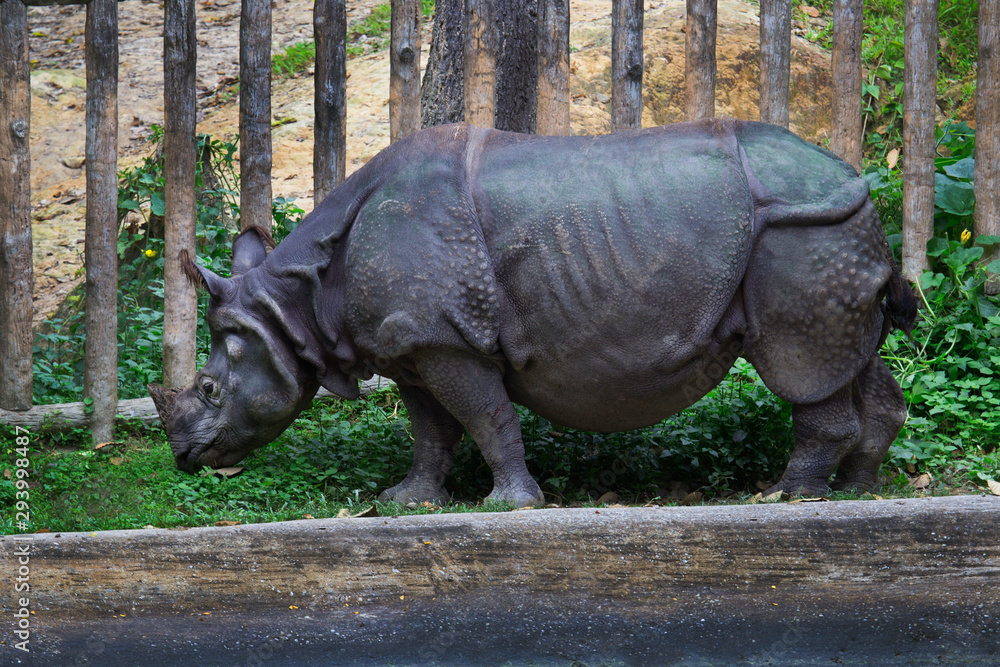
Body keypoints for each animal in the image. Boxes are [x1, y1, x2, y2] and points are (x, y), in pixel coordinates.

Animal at [149, 118, 916, 506]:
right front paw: (408, 502)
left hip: (799, 230)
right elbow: (431, 431)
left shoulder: (446, 339)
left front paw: (509, 506)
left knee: (799, 363)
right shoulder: (414, 342)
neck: (297, 296)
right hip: (829, 230)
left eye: (210, 389)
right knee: (849, 356)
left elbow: (486, 417)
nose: (186, 459)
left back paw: (786, 497)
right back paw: (859, 491)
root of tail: (859, 179)